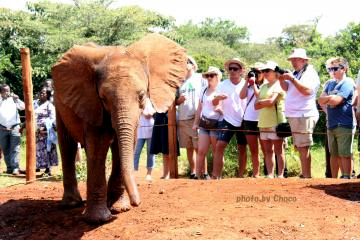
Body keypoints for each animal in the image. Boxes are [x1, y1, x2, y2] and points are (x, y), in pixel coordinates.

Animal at [52, 33, 188, 223]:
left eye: (142, 96)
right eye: (103, 98)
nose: (137, 202)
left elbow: (123, 145)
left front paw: (119, 208)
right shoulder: (92, 102)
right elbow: (98, 145)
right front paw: (98, 219)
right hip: (58, 100)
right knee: (67, 146)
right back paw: (72, 204)